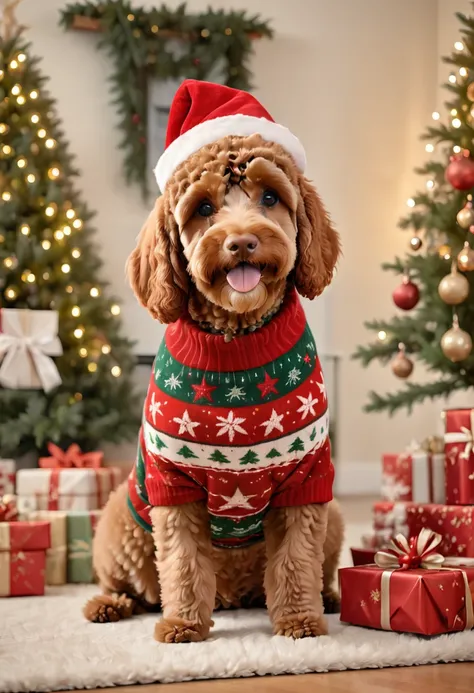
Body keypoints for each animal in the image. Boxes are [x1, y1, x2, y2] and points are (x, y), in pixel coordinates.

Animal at [85, 79, 342, 644]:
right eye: (203, 208)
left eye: (270, 197)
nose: (241, 240)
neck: (235, 341)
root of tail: (232, 596)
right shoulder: (173, 483)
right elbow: (182, 562)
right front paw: (182, 624)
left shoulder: (307, 478)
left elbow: (296, 559)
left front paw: (299, 620)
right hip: (118, 519)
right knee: (128, 583)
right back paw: (108, 605)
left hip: (334, 513)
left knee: (318, 566)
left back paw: (331, 597)